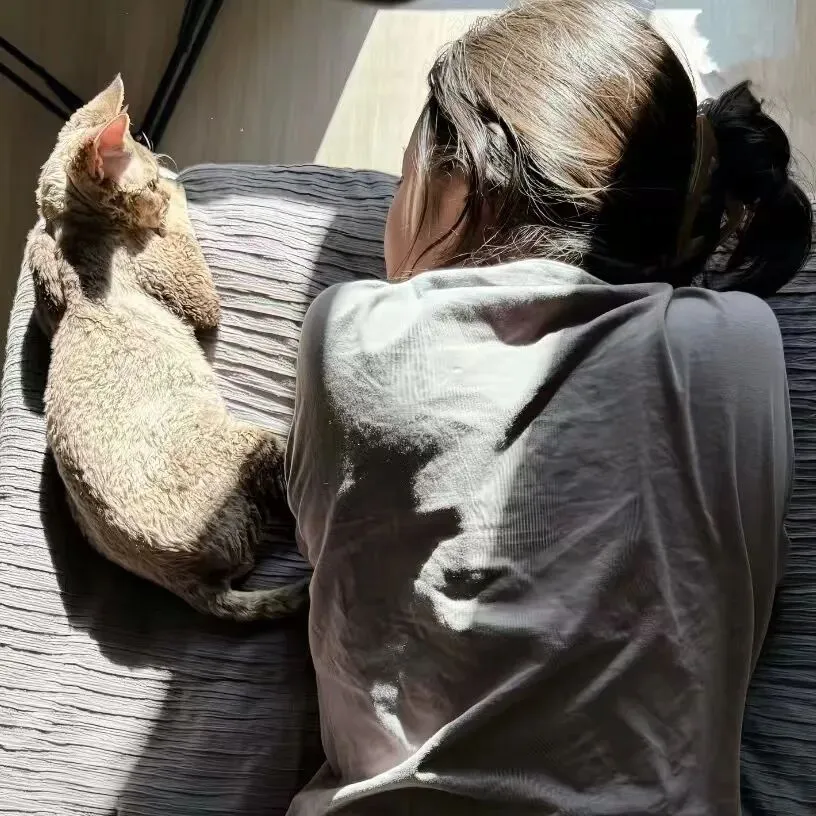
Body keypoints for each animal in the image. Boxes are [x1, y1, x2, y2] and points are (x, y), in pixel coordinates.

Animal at [25, 75, 308, 621]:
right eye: (150, 183)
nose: (161, 187)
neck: (77, 241)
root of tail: (191, 586)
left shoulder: (43, 277)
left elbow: (36, 242)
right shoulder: (191, 290)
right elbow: (182, 231)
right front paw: (179, 190)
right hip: (254, 446)